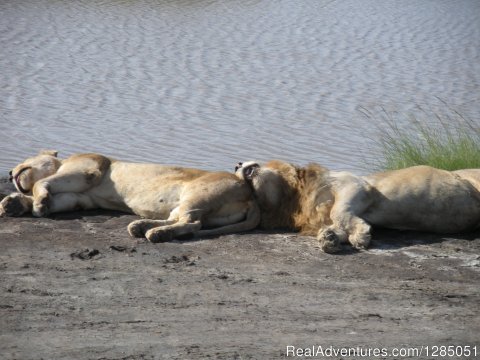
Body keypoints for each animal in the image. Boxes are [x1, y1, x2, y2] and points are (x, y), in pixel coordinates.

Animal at [0, 150, 260, 242]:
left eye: (26, 159)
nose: (10, 172)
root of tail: (250, 193)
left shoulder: (89, 170)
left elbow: (40, 184)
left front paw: (36, 204)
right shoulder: (80, 198)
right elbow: (52, 197)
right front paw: (14, 204)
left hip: (197, 195)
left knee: (192, 223)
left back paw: (155, 234)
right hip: (192, 205)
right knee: (182, 220)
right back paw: (139, 227)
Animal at [235, 160, 480, 253]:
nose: (236, 164)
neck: (294, 198)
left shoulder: (355, 185)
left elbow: (340, 212)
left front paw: (361, 236)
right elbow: (337, 226)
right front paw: (329, 239)